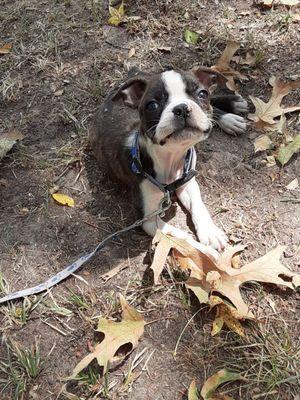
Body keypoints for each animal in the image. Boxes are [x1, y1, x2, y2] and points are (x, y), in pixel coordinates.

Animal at [89, 67, 248, 258]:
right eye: (152, 105)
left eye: (202, 94)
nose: (182, 108)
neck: (172, 156)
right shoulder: (149, 220)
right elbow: (181, 237)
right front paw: (205, 254)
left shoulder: (188, 182)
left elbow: (199, 207)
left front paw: (210, 233)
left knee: (212, 109)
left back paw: (231, 112)